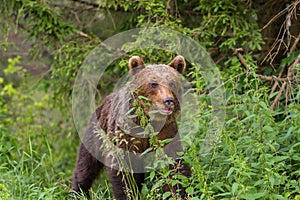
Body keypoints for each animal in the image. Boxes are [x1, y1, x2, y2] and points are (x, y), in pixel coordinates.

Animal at [71, 55, 191, 199]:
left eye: (172, 83)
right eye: (153, 83)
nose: (168, 101)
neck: (148, 121)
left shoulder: (166, 132)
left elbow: (174, 165)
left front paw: (179, 193)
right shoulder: (126, 134)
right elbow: (122, 170)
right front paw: (127, 194)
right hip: (96, 135)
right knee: (86, 166)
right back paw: (78, 191)